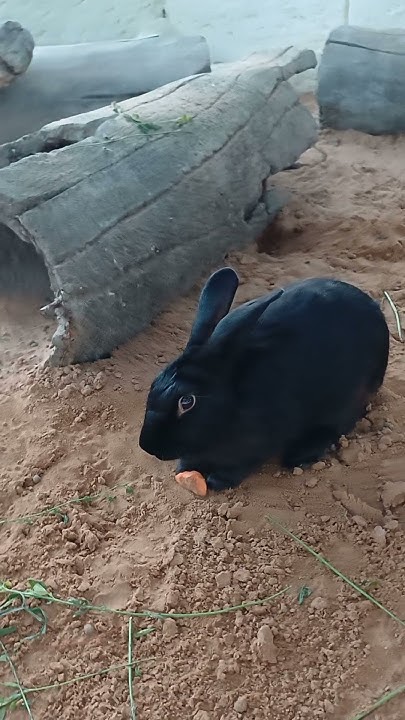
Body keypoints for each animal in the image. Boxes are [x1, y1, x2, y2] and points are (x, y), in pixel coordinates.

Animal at [139, 267, 389, 491]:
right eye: (153, 384)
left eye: (187, 401)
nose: (148, 447)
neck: (230, 403)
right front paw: (185, 469)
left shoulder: (258, 445)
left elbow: (240, 466)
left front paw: (217, 481)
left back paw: (302, 454)